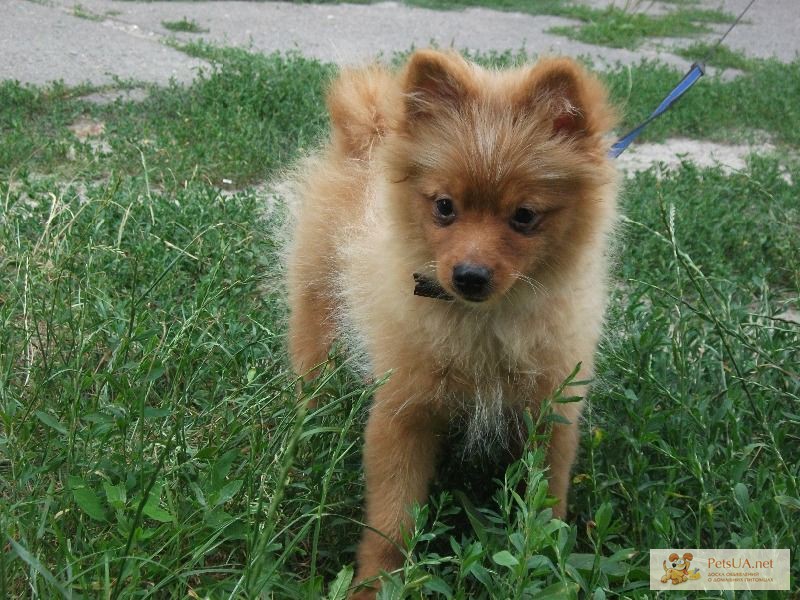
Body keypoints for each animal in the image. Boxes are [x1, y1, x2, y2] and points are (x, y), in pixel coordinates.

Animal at [286, 49, 620, 596]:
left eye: (524, 216)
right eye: (445, 207)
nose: (469, 275)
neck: (483, 325)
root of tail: (366, 140)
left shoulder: (550, 413)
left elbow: (545, 506)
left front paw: (547, 565)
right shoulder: (404, 411)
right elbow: (393, 518)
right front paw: (376, 584)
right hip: (317, 306)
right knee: (311, 371)